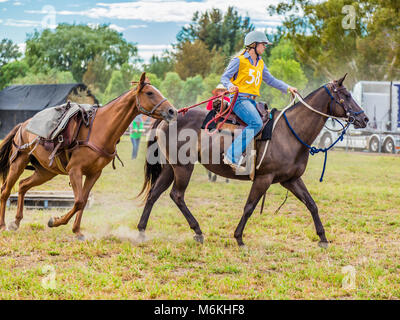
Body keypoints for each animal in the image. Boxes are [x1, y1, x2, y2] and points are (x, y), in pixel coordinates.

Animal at [0, 71, 178, 239]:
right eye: (149, 93)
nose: (172, 111)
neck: (100, 129)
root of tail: (22, 125)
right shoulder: (75, 170)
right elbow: (78, 201)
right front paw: (55, 221)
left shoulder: (94, 174)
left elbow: (84, 201)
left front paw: (77, 231)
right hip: (18, 163)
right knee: (6, 190)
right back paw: (3, 225)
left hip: (45, 172)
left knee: (22, 185)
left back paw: (16, 222)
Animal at [137, 75, 368, 248]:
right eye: (346, 95)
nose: (364, 118)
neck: (289, 132)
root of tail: (171, 116)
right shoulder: (263, 178)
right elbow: (249, 206)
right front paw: (239, 238)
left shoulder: (291, 180)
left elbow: (311, 204)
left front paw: (323, 238)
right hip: (183, 167)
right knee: (177, 195)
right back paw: (198, 230)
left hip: (170, 168)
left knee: (154, 194)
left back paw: (142, 230)